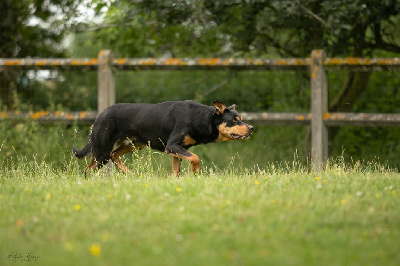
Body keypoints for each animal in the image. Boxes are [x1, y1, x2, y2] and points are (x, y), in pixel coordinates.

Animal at [72, 100, 253, 175]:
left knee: (114, 155)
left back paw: (128, 172)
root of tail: (99, 115)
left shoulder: (177, 151)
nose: (251, 128)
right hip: (101, 152)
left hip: (135, 144)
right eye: (234, 120)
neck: (198, 118)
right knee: (87, 170)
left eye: (241, 118)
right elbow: (195, 158)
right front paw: (195, 173)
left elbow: (176, 172)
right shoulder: (172, 146)